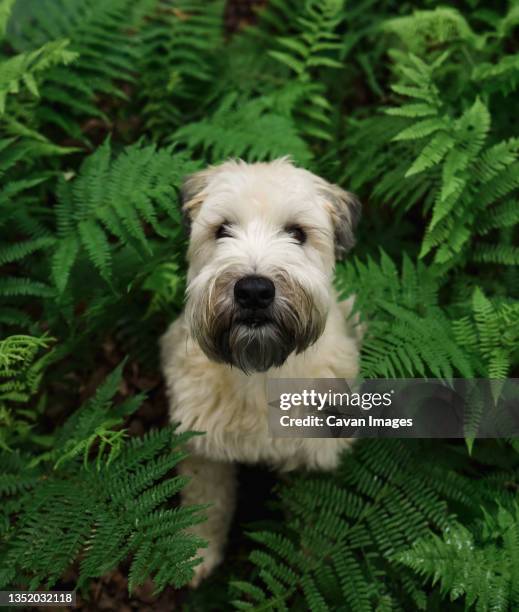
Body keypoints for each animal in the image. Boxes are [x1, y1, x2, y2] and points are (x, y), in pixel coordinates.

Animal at [160, 157, 364, 584]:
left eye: (297, 233)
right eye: (222, 229)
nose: (254, 290)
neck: (260, 374)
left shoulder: (312, 451)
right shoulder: (203, 446)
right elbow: (206, 502)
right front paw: (198, 552)